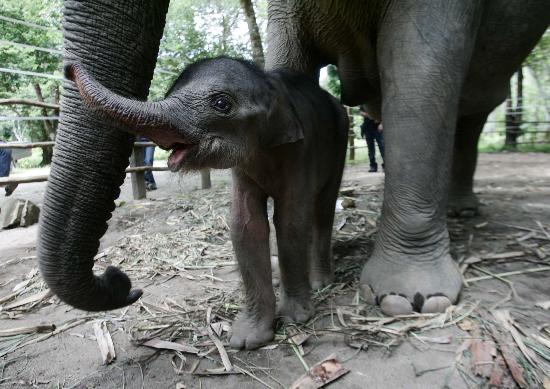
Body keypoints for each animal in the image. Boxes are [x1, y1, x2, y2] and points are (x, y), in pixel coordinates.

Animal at [66, 55, 350, 348]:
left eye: (222, 104)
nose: (68, 67)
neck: (268, 83)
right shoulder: (244, 167)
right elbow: (245, 225)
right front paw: (246, 339)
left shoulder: (301, 150)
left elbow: (290, 221)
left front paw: (296, 319)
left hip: (341, 134)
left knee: (323, 208)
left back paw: (320, 282)